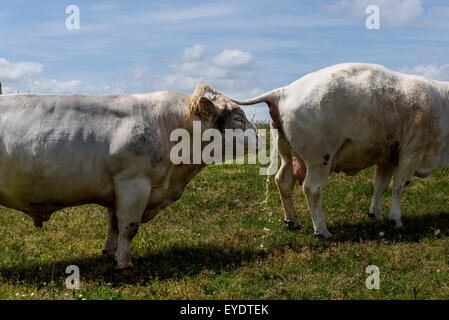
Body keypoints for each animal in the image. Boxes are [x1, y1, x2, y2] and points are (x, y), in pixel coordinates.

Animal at [0, 84, 256, 268]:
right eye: (238, 119)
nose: (261, 138)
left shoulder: (117, 190)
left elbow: (114, 224)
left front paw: (109, 253)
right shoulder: (134, 184)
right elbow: (128, 227)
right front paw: (124, 264)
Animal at [231, 62, 448, 239]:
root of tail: (283, 92)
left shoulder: (387, 156)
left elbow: (380, 185)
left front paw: (376, 214)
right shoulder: (411, 154)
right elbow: (399, 187)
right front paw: (396, 220)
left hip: (288, 154)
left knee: (283, 181)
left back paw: (292, 220)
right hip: (319, 159)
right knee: (312, 189)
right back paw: (322, 231)